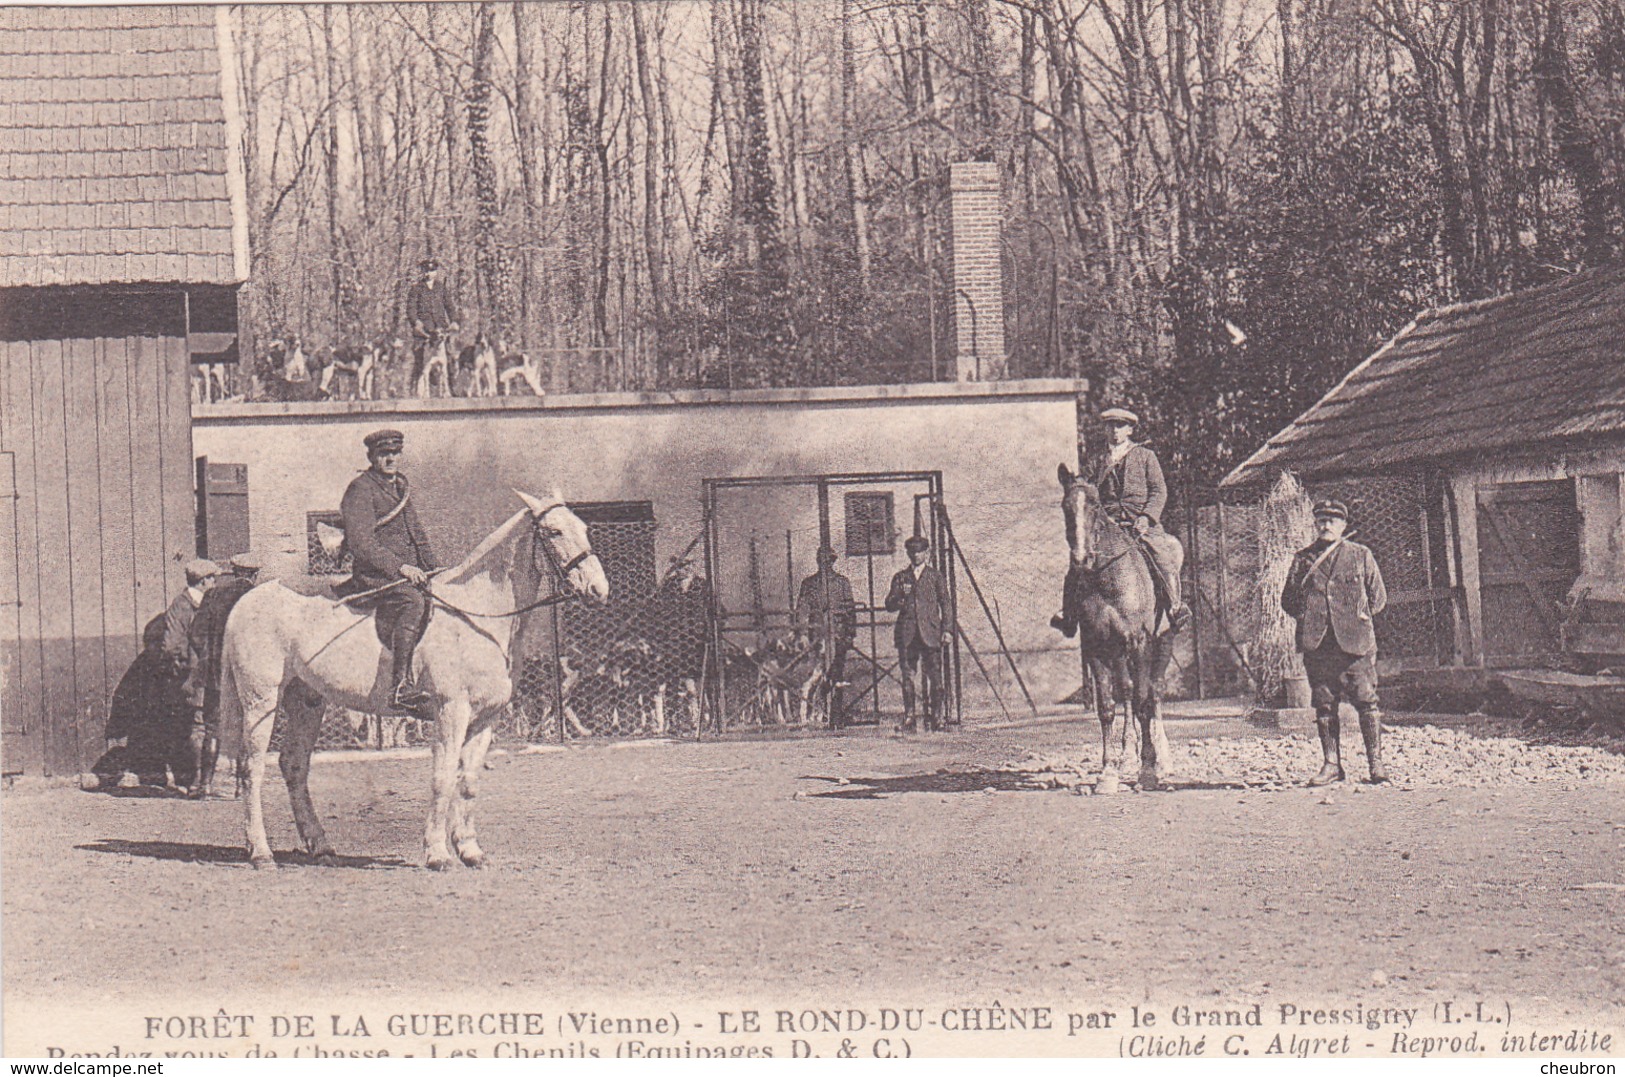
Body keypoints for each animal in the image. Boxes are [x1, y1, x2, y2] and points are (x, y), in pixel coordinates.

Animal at [219, 493, 607, 870]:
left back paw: (321, 847)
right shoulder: (451, 710)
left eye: (584, 527)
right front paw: (437, 853)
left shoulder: (485, 718)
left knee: (294, 765)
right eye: (554, 531)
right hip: (261, 700)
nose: (598, 590)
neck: (479, 615)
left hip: (306, 701)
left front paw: (470, 851)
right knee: (252, 768)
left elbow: (468, 783)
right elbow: (443, 777)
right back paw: (261, 852)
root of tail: (245, 601)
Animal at [1059, 458, 1176, 795]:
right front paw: (1109, 771)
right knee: (1127, 691)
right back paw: (1128, 756)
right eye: (1065, 507)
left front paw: (1147, 768)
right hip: (1118, 652)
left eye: (1095, 505)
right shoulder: (1096, 647)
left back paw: (1162, 759)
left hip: (1162, 643)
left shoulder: (1138, 642)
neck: (1107, 578)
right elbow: (1108, 706)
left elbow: (1141, 701)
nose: (1081, 560)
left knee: (1153, 692)